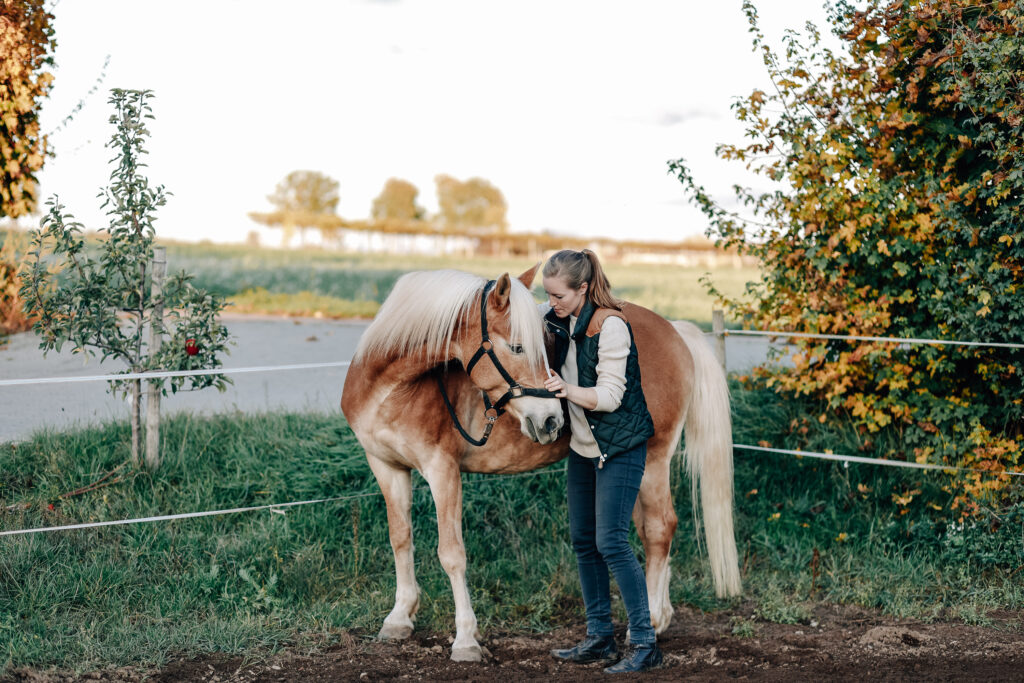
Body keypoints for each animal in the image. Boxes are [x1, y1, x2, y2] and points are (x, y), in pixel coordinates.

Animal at [339, 266, 741, 663]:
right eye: (518, 347)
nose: (551, 420)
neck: (390, 387)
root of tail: (674, 330)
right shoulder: (386, 467)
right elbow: (400, 539)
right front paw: (399, 618)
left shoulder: (443, 470)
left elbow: (451, 554)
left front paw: (466, 639)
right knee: (650, 530)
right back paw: (660, 616)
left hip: (655, 459)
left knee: (660, 529)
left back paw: (653, 622)